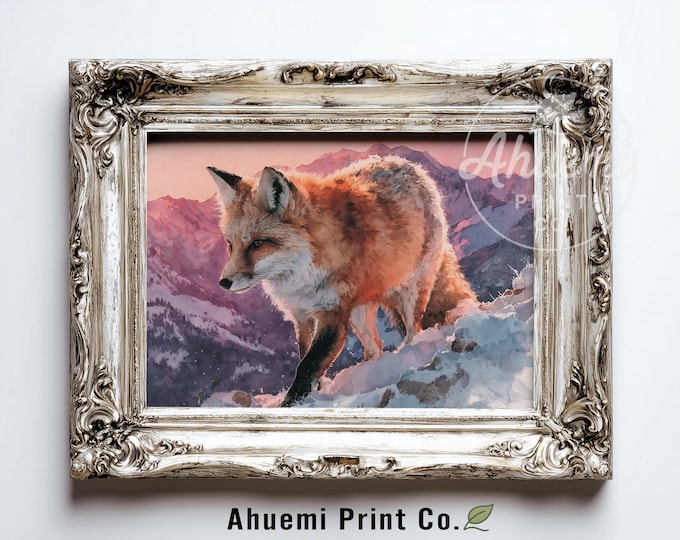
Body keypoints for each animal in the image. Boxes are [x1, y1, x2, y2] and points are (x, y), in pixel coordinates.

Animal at [207, 156, 476, 406]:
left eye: (257, 244)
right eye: (230, 245)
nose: (224, 282)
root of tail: (409, 165)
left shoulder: (333, 312)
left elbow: (308, 365)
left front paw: (292, 403)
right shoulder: (302, 315)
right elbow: (305, 356)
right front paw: (314, 391)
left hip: (411, 291)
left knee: (413, 332)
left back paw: (404, 358)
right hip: (359, 311)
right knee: (375, 348)